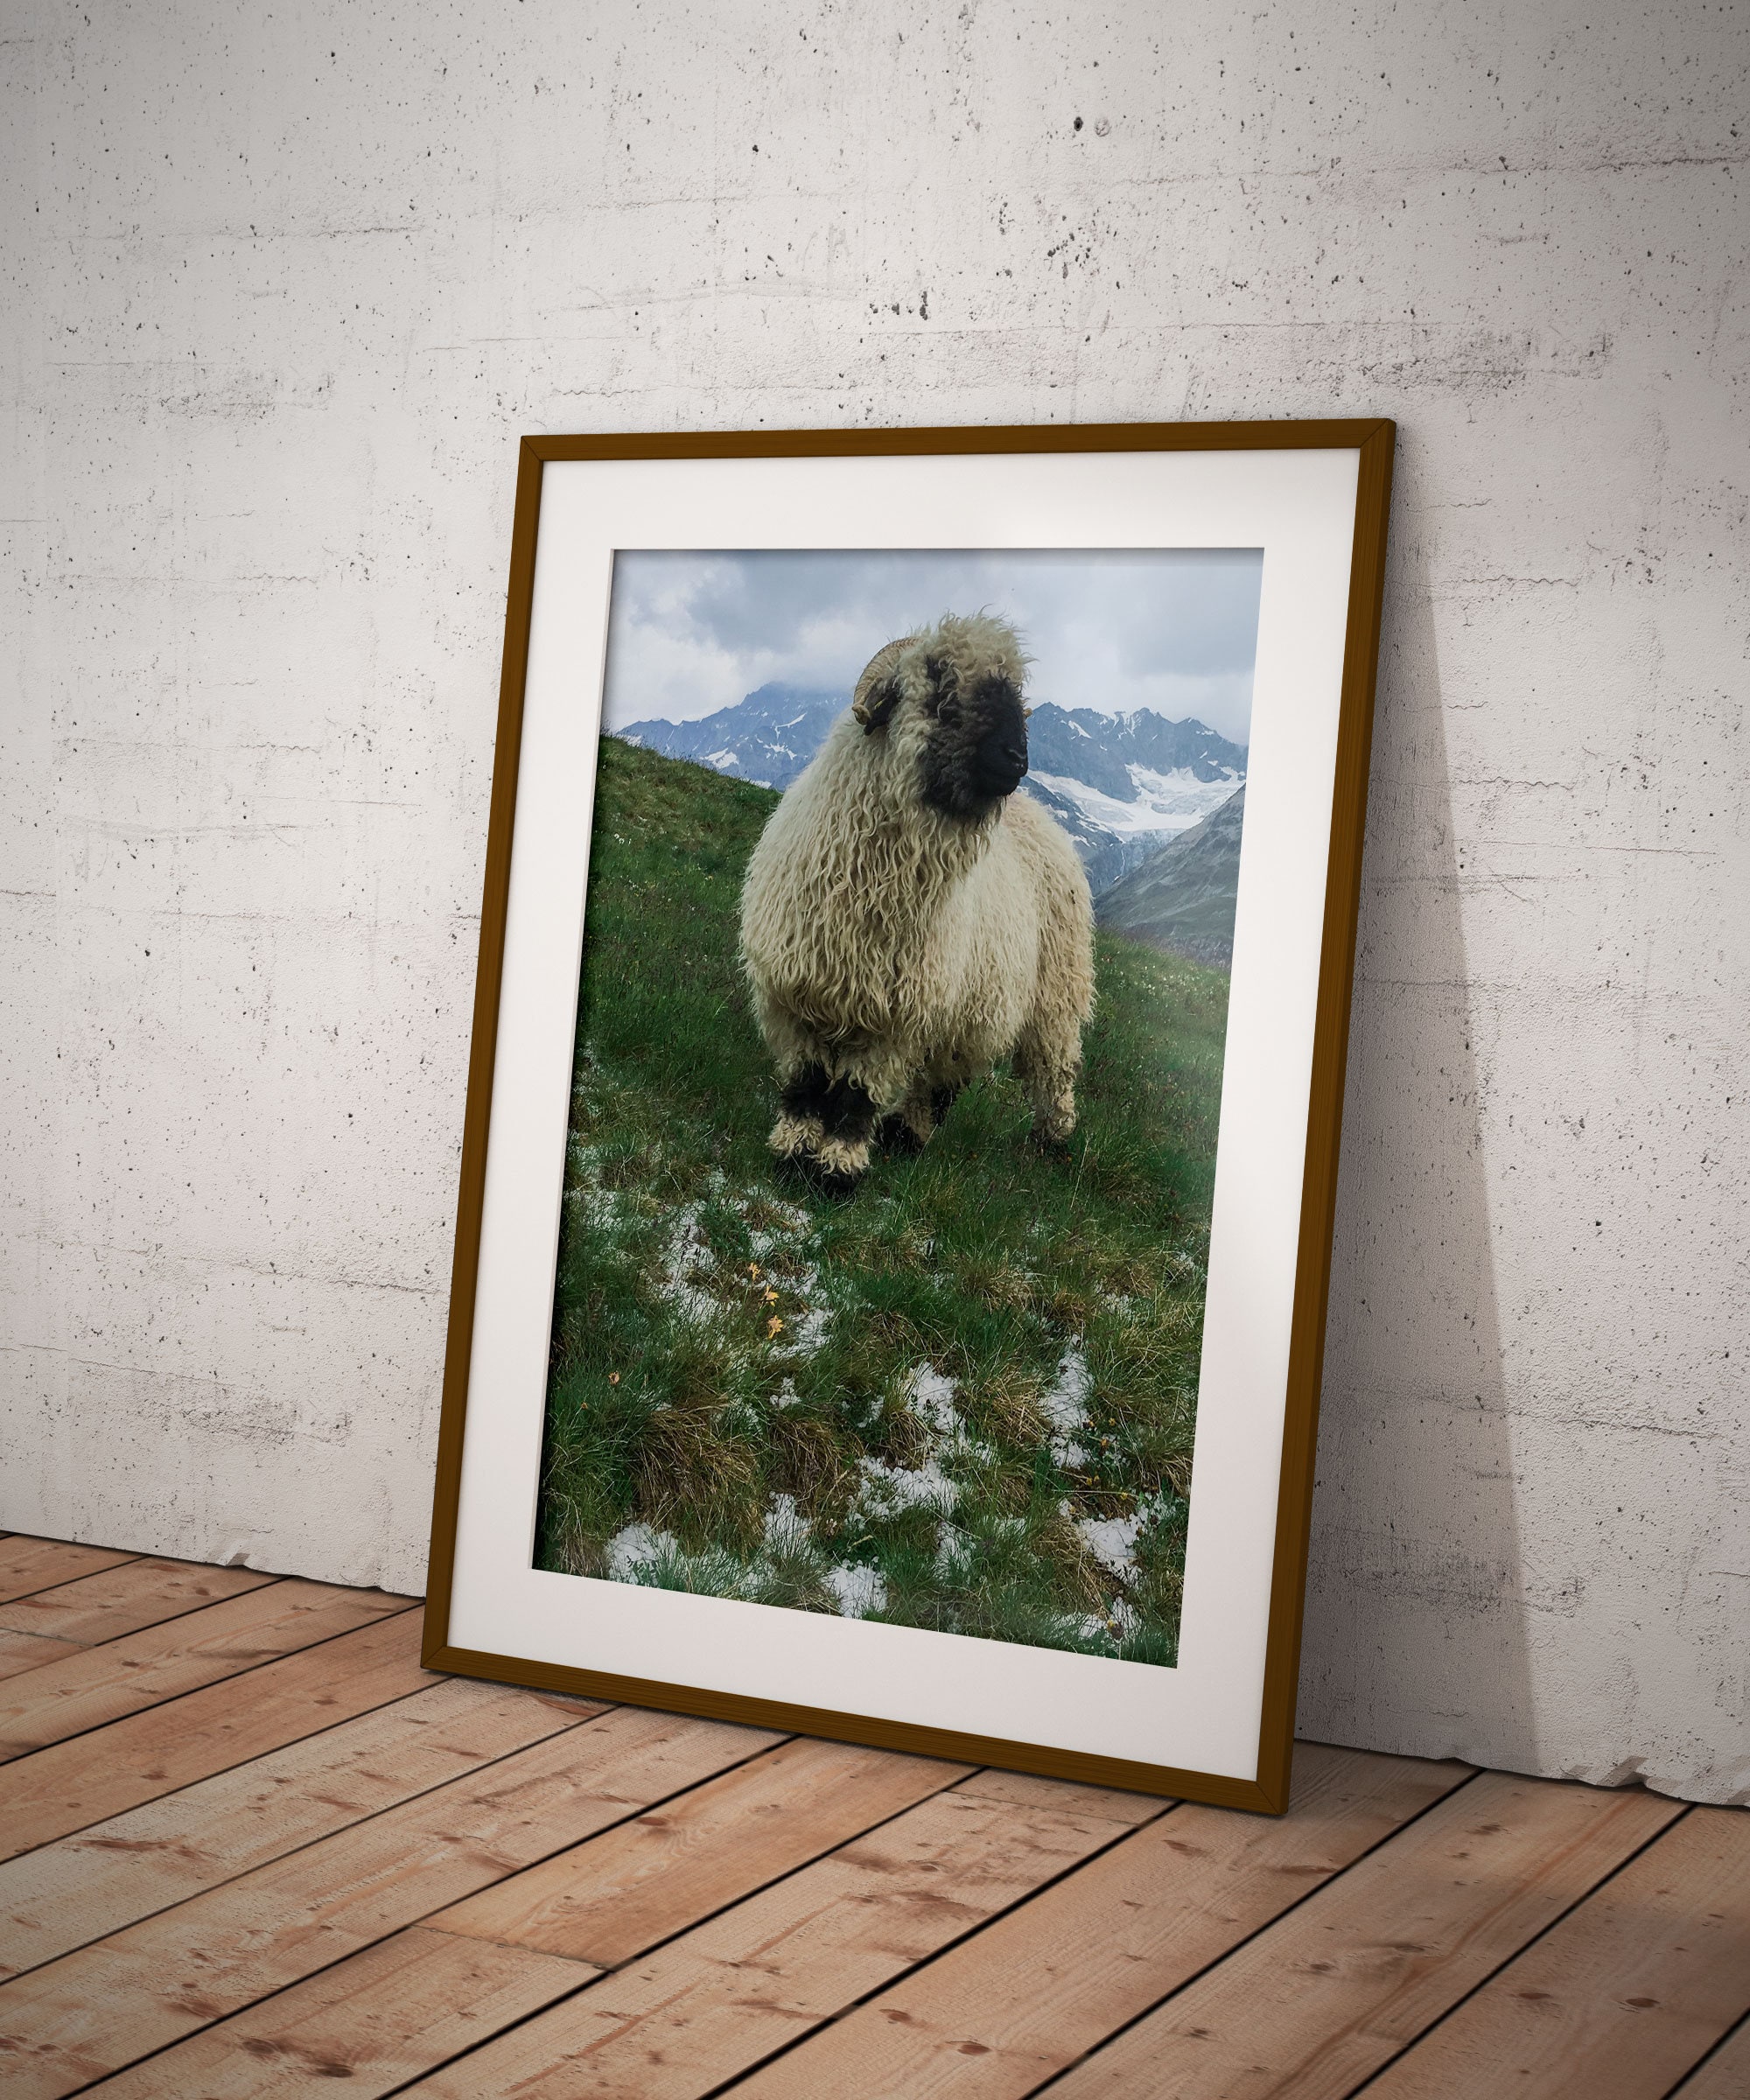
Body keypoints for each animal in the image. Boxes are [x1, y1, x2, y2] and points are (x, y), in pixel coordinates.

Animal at [738, 610, 1096, 1195]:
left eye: (1015, 696)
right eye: (943, 692)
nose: (1017, 759)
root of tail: (1040, 814)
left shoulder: (895, 1018)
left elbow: (854, 1097)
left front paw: (837, 1171)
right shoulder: (797, 995)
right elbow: (806, 1083)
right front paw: (792, 1154)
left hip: (1053, 996)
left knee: (1050, 1070)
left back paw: (1050, 1143)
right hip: (970, 1004)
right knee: (941, 1078)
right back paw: (908, 1136)